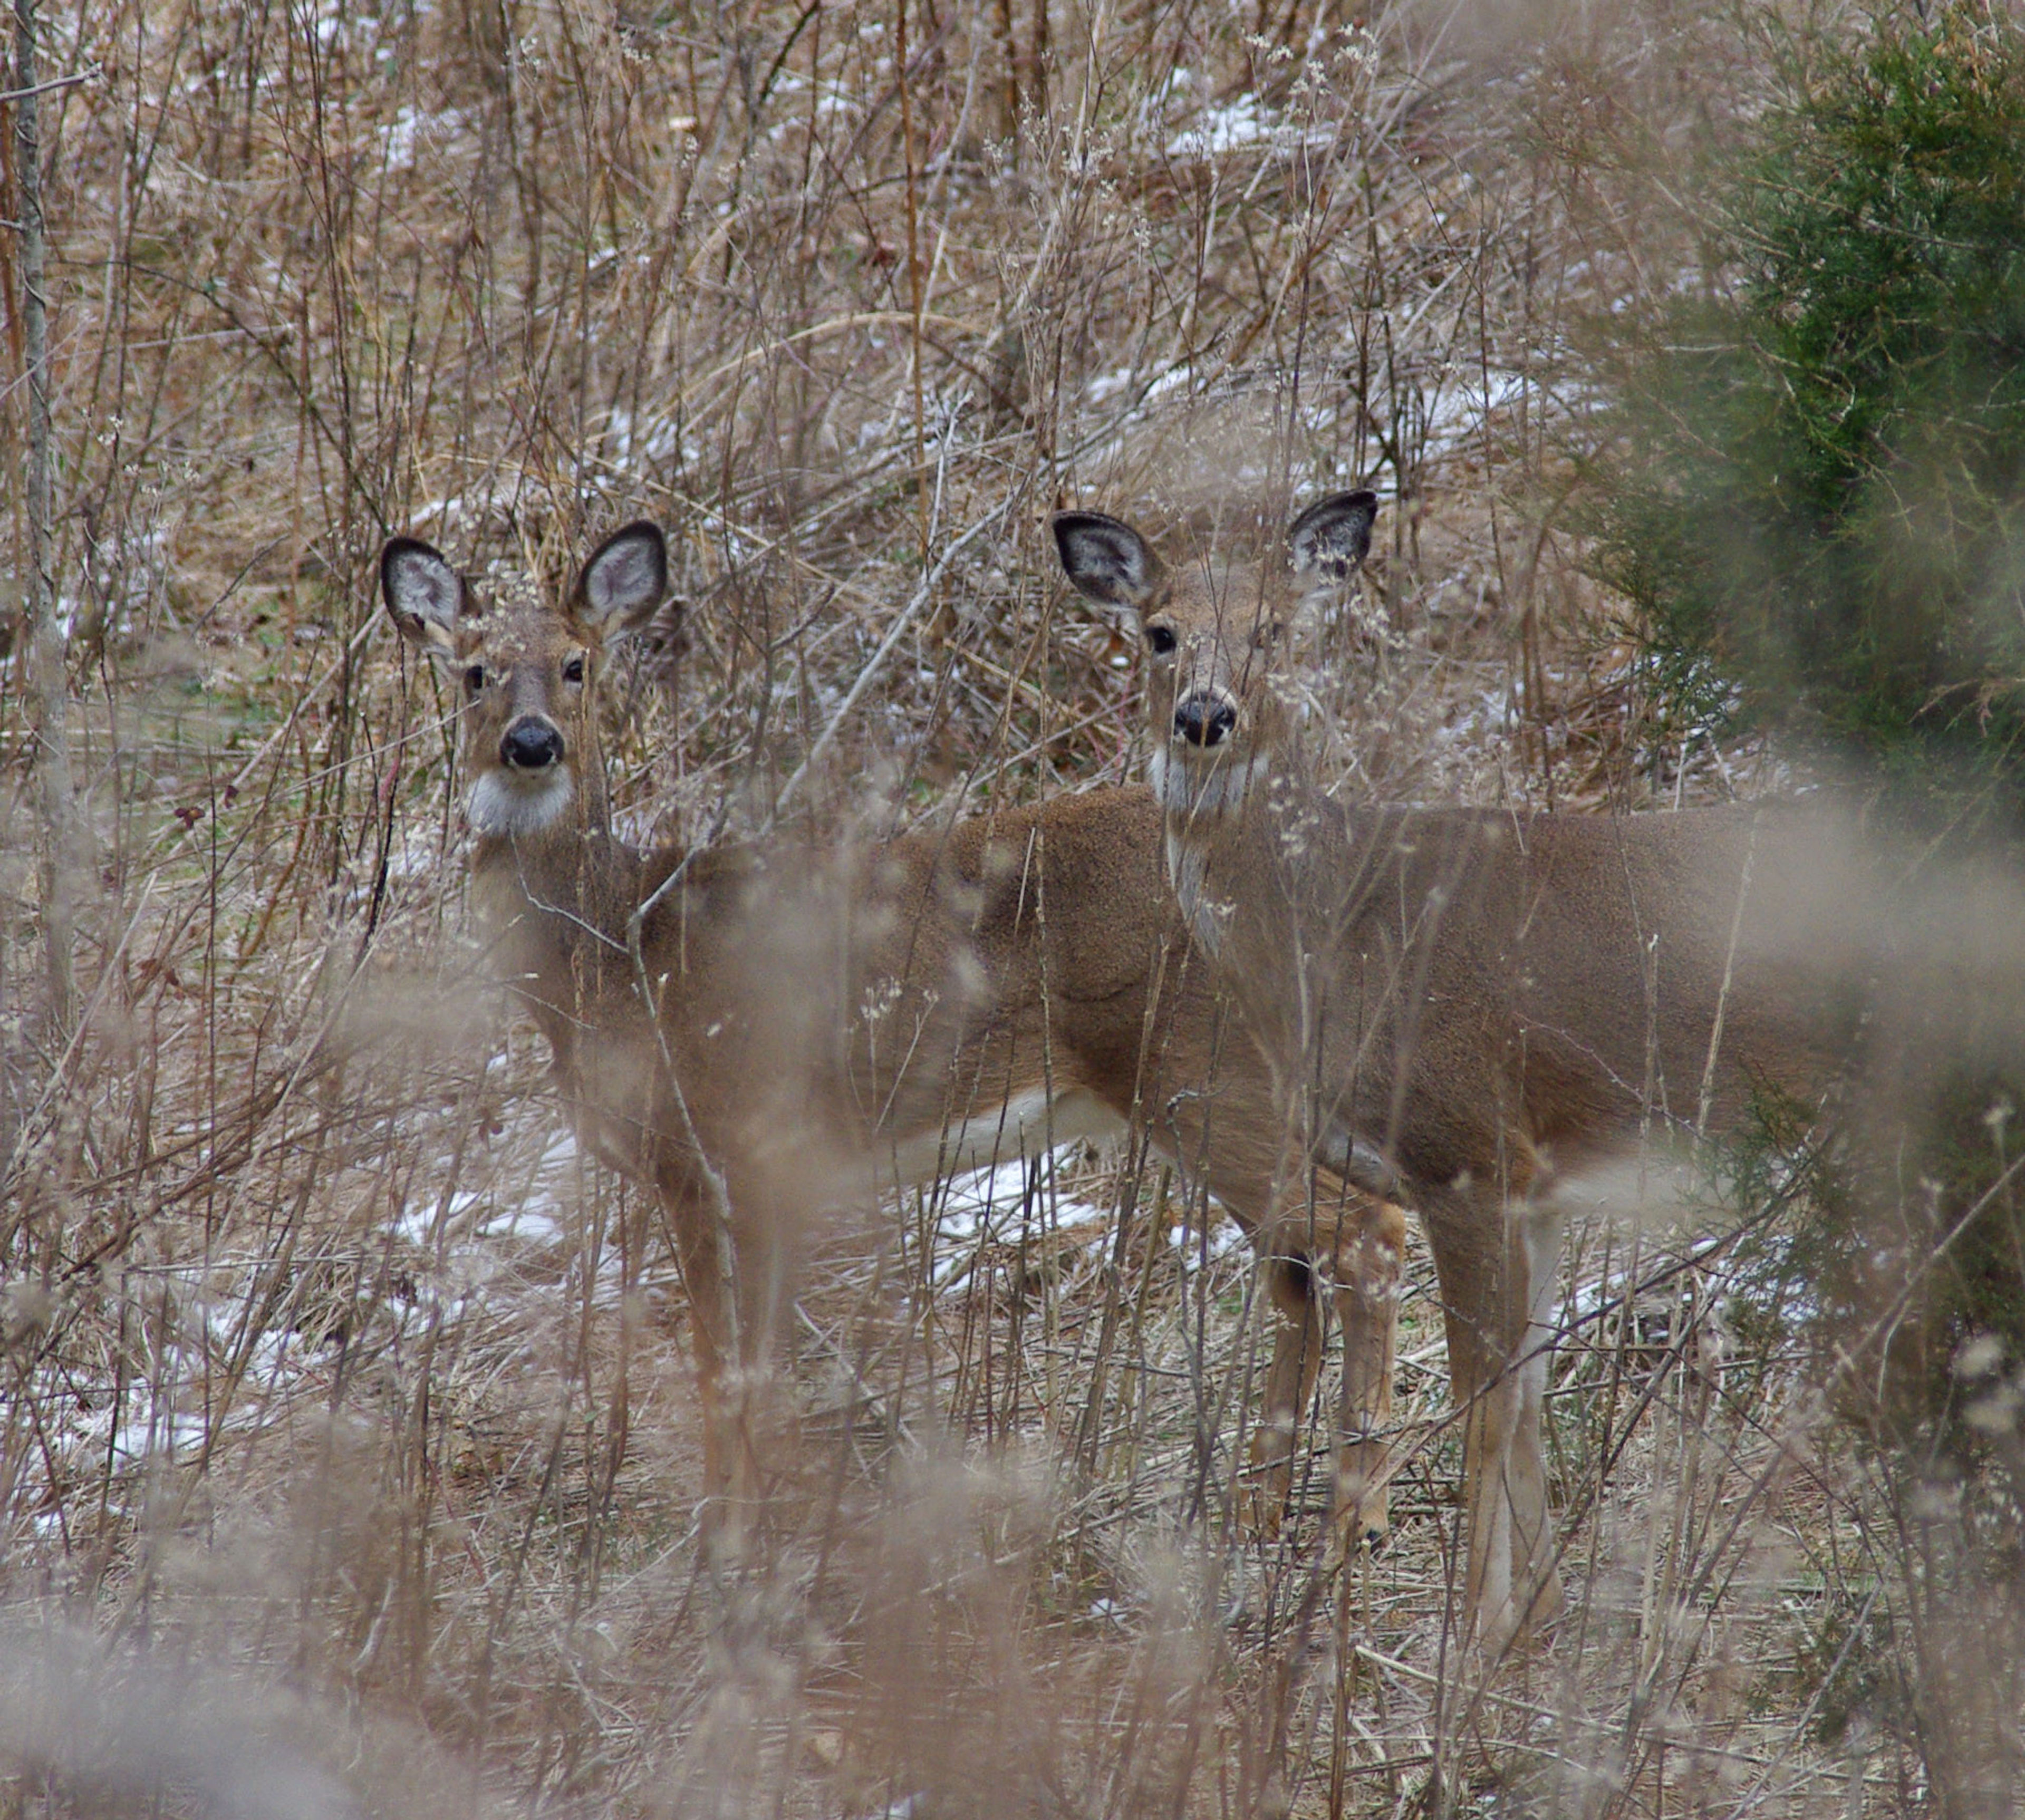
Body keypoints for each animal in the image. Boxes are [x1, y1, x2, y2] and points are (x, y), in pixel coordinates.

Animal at [380, 518, 1409, 1554]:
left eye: (577, 663)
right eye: (473, 672)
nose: (533, 742)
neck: (619, 953)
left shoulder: (729, 1145)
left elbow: (730, 1367)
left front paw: (728, 1542)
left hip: (1210, 1073)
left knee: (1364, 1234)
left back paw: (1354, 1517)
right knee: (1299, 1271)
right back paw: (1261, 1507)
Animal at [1053, 493, 1871, 1652]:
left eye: (1273, 631)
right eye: (1162, 631)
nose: (1207, 717)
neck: (1336, 926)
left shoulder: (1464, 1153)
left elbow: (1484, 1409)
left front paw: (1473, 1642)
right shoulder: (1534, 1186)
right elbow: (1525, 1405)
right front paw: (1536, 1629)